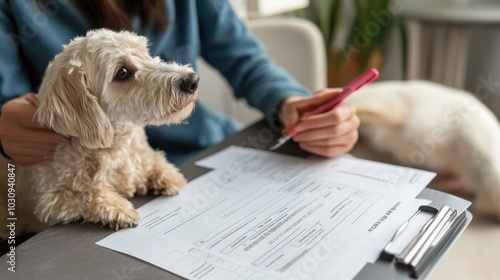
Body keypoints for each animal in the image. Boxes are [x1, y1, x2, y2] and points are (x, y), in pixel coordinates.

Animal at [1, 29, 201, 238]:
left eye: (145, 52)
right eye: (122, 72)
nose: (192, 80)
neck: (114, 148)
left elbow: (152, 161)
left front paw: (166, 174)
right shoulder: (50, 201)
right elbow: (86, 194)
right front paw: (117, 208)